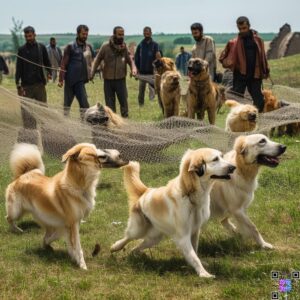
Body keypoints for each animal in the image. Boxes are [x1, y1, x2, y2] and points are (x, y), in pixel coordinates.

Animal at [111, 149, 236, 278]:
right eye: (215, 159)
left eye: (222, 156)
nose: (233, 167)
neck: (190, 195)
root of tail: (145, 191)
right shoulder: (183, 236)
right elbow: (194, 257)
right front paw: (204, 274)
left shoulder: (195, 231)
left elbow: (195, 252)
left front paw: (201, 267)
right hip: (138, 230)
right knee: (127, 237)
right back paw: (115, 247)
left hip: (154, 238)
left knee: (136, 247)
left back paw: (135, 255)